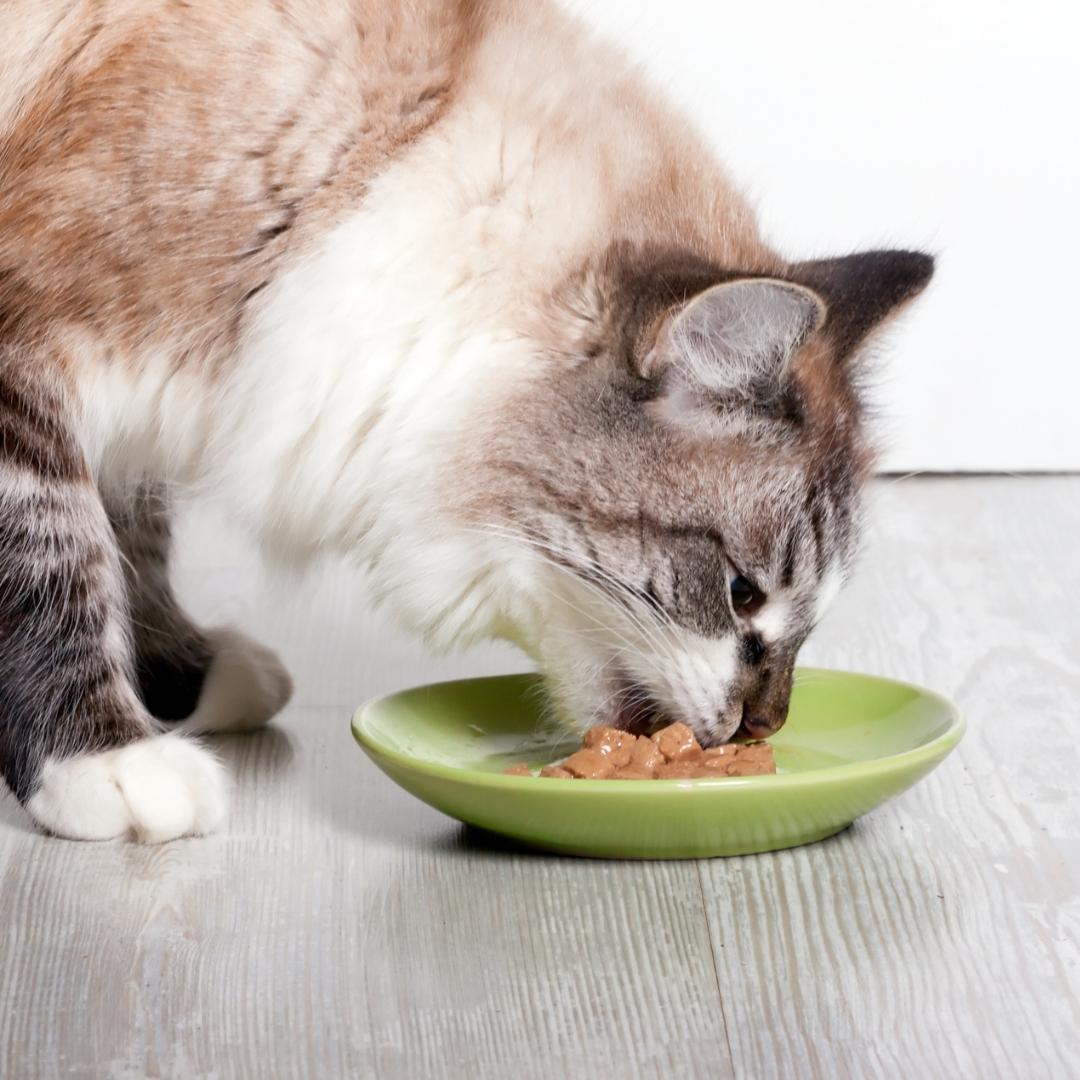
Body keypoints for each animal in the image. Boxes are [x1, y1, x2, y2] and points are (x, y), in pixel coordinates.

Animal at [0, 0, 933, 842]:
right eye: (743, 593)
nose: (766, 727)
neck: (365, 170)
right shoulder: (29, 362)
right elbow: (57, 554)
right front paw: (104, 760)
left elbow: (136, 540)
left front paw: (180, 680)